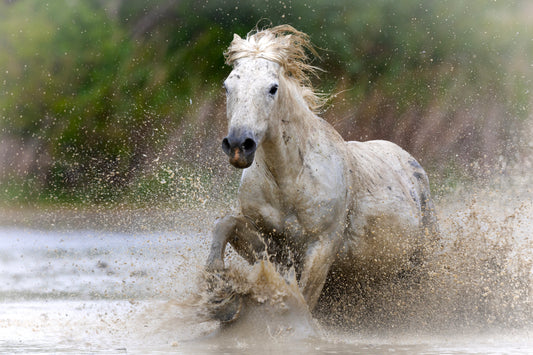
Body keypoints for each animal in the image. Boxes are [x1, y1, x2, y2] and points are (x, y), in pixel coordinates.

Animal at [204, 25, 436, 322]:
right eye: (227, 86)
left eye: (272, 88)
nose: (237, 145)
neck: (288, 182)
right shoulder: (271, 245)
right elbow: (225, 223)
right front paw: (221, 296)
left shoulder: (322, 245)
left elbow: (302, 300)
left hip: (418, 263)